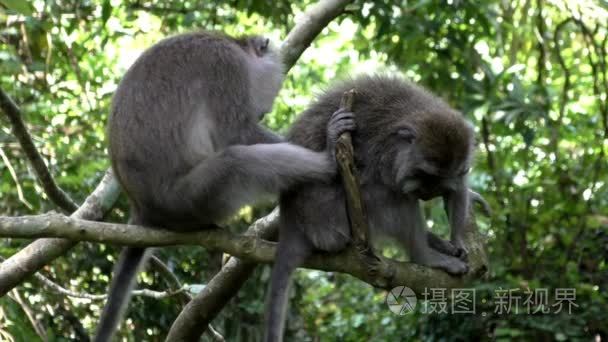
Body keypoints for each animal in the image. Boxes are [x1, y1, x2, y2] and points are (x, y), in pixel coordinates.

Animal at [95, 32, 356, 342]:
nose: (264, 110)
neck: (235, 47)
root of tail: (143, 209)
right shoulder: (227, 68)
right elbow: (237, 134)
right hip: (190, 198)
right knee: (237, 160)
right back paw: (327, 160)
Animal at [266, 73, 480, 340]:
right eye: (425, 175)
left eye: (440, 179)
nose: (427, 194)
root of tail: (291, 219)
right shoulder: (385, 156)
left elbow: (458, 189)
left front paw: (458, 240)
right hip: (331, 222)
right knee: (393, 198)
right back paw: (425, 257)